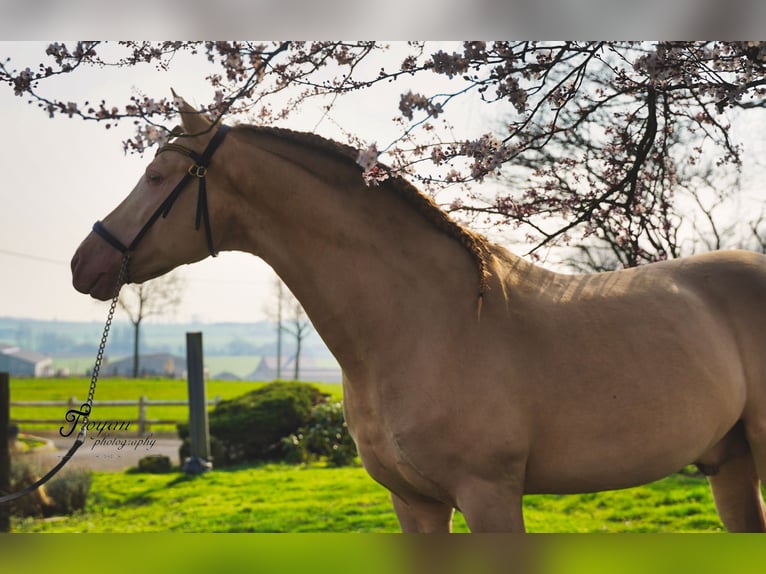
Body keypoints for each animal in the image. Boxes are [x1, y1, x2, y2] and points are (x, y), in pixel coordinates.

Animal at [70, 95, 766, 536]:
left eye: (158, 176)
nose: (84, 263)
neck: (428, 325)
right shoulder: (415, 506)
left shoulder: (490, 498)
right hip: (730, 465)